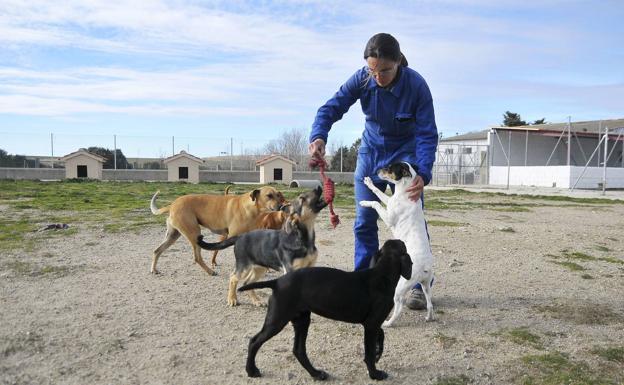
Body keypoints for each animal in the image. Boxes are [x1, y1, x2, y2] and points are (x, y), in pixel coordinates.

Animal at [150, 184, 286, 274]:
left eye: (278, 195)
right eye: (269, 195)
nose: (282, 207)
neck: (251, 208)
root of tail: (172, 204)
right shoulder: (233, 237)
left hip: (173, 236)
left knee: (157, 251)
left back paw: (154, 269)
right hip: (194, 234)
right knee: (197, 258)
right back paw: (210, 271)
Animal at [238, 238, 410, 380]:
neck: (382, 274)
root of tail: (277, 282)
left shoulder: (371, 323)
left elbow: (381, 335)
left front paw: (378, 353)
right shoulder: (371, 324)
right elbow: (368, 352)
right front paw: (375, 374)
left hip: (301, 320)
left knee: (298, 350)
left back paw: (316, 374)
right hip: (277, 319)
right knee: (254, 342)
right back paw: (251, 371)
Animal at [360, 160, 434, 326]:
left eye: (389, 168)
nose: (377, 170)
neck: (405, 190)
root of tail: (425, 265)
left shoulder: (388, 217)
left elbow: (376, 202)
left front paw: (366, 202)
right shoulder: (389, 201)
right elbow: (378, 194)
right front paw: (368, 184)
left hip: (400, 287)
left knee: (398, 307)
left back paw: (387, 323)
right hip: (425, 286)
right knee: (430, 303)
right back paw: (429, 317)